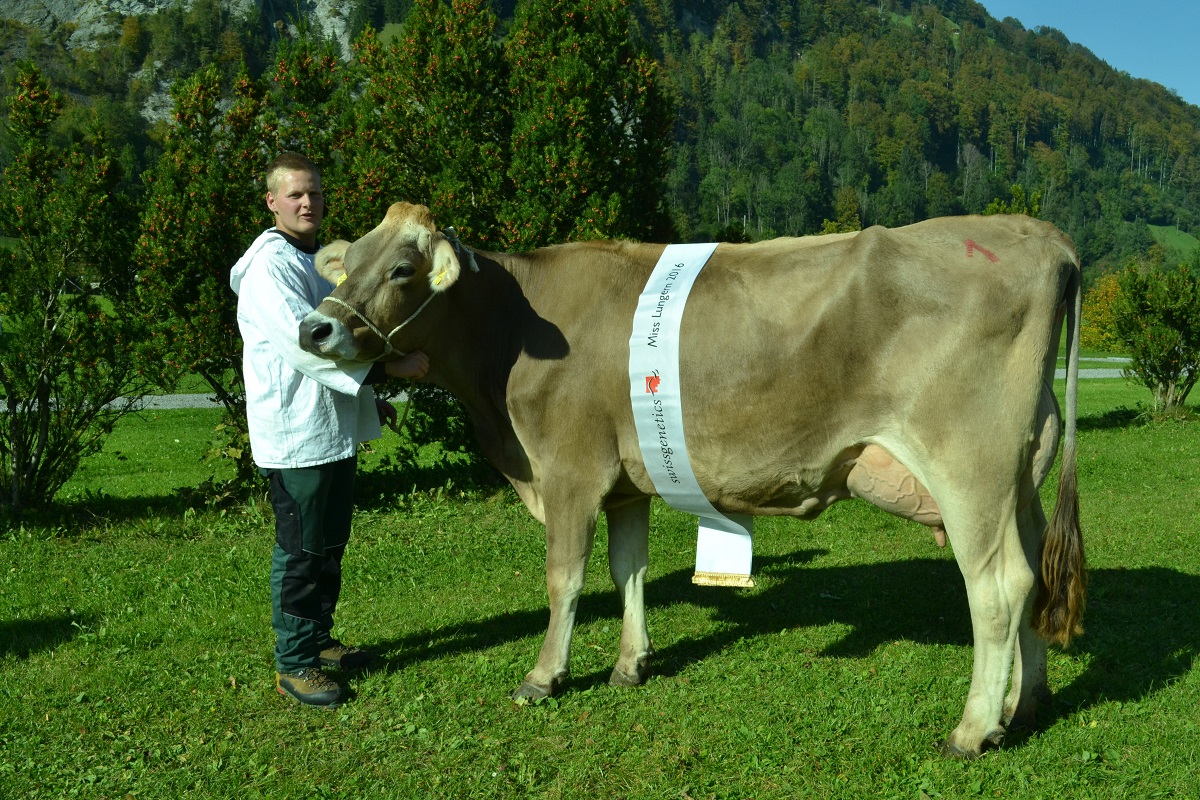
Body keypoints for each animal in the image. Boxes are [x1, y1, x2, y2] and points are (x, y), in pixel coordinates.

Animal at [298, 203, 1085, 757]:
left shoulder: (570, 472)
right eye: (344, 267)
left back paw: (973, 730)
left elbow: (564, 580)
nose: (315, 330)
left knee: (998, 589)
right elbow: (629, 571)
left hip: (970, 470)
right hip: (1020, 477)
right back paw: (1026, 706)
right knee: (1035, 577)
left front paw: (544, 677)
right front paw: (630, 664)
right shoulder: (625, 483)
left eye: (402, 270)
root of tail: (1041, 235)